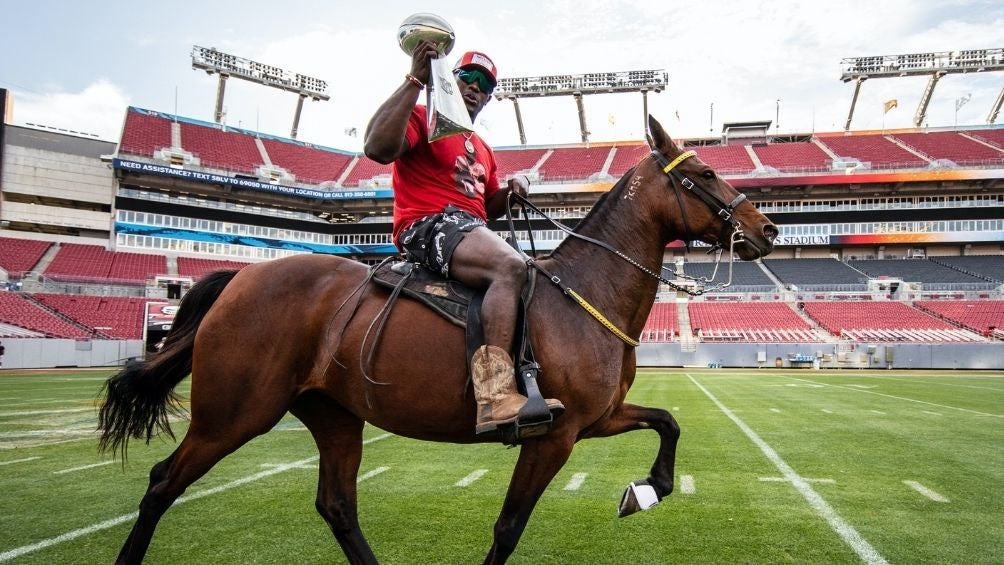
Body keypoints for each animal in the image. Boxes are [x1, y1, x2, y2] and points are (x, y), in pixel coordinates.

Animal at [99, 115, 775, 565]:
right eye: (704, 173)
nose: (765, 228)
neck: (584, 293)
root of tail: (241, 279)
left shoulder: (599, 417)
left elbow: (668, 422)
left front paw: (649, 489)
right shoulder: (553, 436)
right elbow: (508, 526)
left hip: (333, 414)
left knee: (337, 506)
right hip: (234, 414)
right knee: (161, 483)